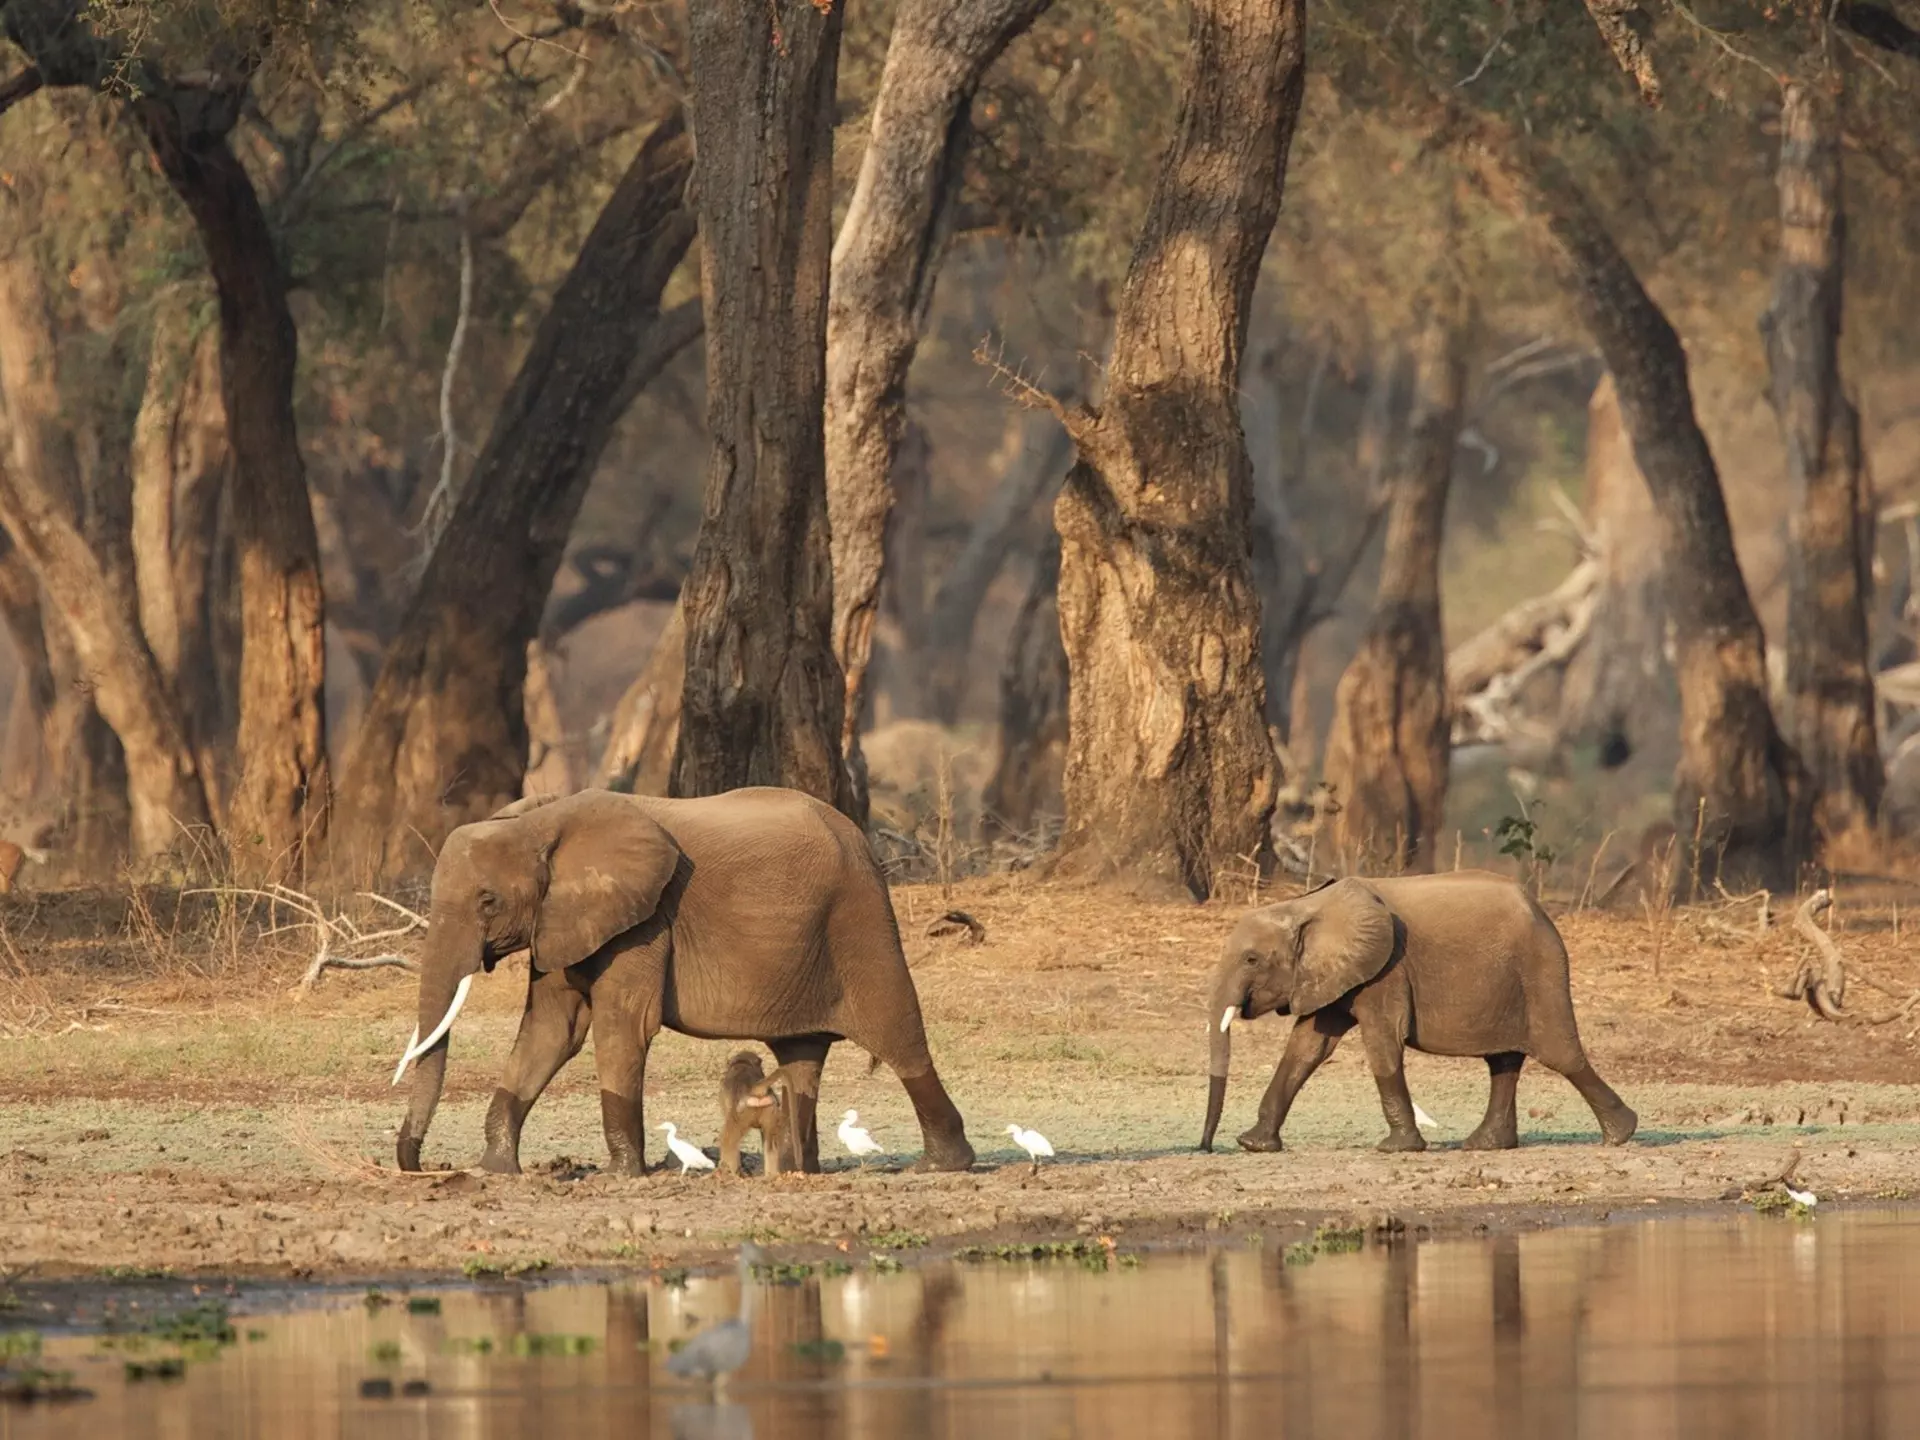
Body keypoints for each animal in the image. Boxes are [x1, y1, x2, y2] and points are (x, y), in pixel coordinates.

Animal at [390, 786, 976, 1176]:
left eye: (487, 901)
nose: (418, 1164)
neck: (541, 821)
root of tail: (862, 841)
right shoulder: (561, 921)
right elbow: (552, 1030)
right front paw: (495, 1170)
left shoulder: (646, 923)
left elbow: (621, 1027)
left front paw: (621, 1176)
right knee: (800, 1056)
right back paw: (795, 1170)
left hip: (862, 923)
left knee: (900, 1036)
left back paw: (943, 1166)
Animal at [1199, 871, 1637, 1154]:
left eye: (1252, 959)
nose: (1207, 1148)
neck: (1306, 906)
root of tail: (1542, 911)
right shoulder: (1336, 973)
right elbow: (1307, 1048)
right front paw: (1254, 1145)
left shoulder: (1386, 969)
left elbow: (1382, 1043)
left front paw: (1396, 1149)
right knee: (1503, 1062)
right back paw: (1484, 1146)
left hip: (1540, 970)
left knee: (1559, 1053)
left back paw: (1621, 1135)